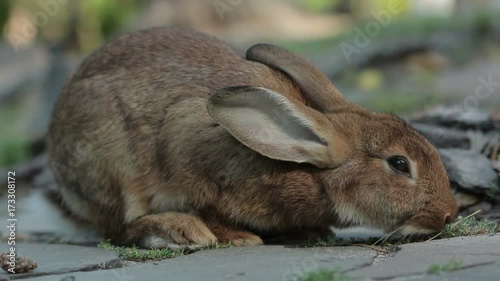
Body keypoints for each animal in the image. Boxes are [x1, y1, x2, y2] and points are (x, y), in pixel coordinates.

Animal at [47, 26, 458, 247]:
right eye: (399, 164)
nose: (450, 214)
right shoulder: (189, 154)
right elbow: (205, 206)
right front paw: (239, 236)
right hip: (113, 170)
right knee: (118, 228)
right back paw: (182, 231)